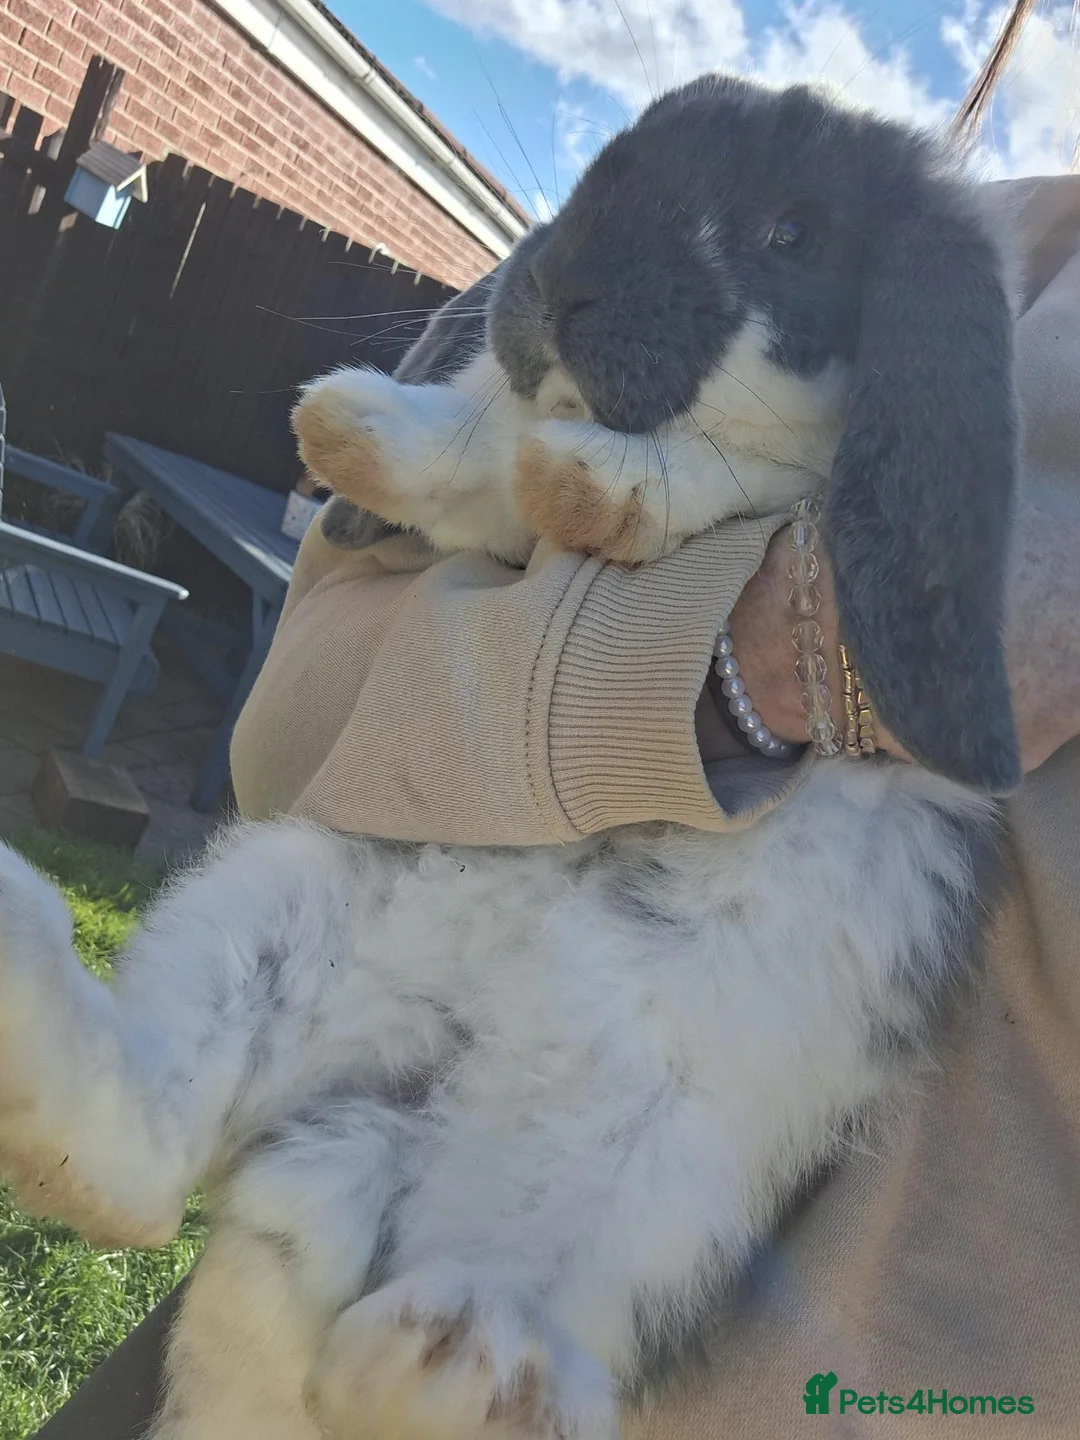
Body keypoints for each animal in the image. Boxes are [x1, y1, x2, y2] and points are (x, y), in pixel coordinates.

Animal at [0, 74, 1019, 1440]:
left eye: (792, 234)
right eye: (616, 151)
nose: (555, 285)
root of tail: (412, 1093)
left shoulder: (772, 481)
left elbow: (732, 471)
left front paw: (595, 479)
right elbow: (489, 469)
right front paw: (358, 427)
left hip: (677, 1173)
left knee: (496, 1350)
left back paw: (469, 1363)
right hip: (292, 899)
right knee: (147, 1162)